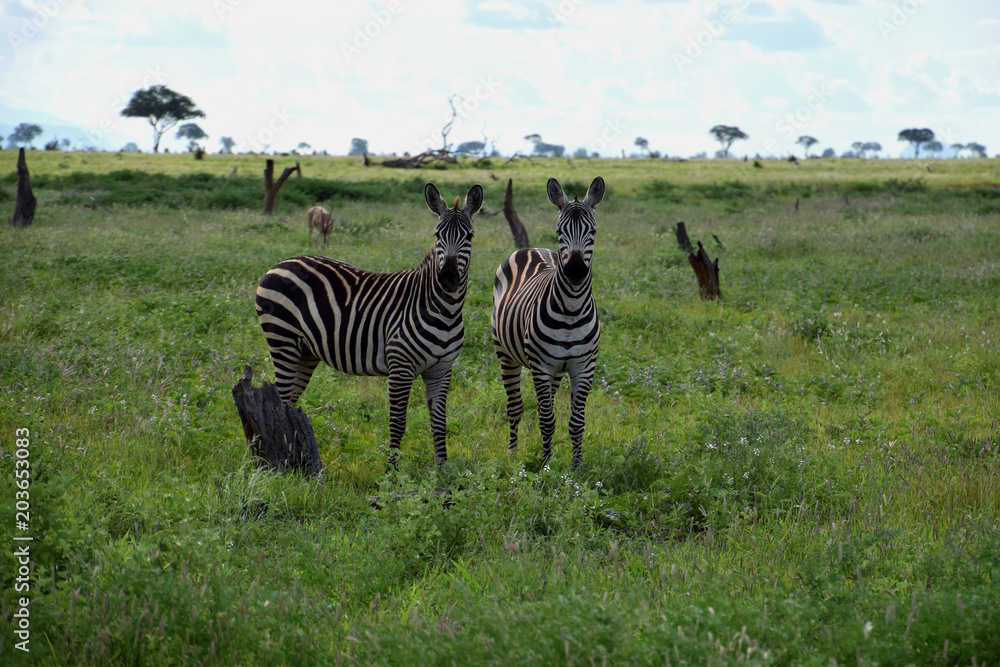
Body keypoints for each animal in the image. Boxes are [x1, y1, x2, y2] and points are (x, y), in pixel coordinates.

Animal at [255, 183, 483, 468]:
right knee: (280, 400)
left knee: (289, 403)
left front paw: (442, 470)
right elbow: (398, 422)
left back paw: (293, 458)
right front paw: (392, 472)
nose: (448, 278)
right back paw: (283, 461)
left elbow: (440, 422)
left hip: (304, 351)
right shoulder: (401, 367)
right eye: (437, 235)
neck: (446, 311)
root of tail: (280, 263)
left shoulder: (441, 369)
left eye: (470, 236)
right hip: (282, 340)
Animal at [491, 176, 604, 471]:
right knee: (515, 407)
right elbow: (546, 420)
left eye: (593, 231)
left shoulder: (583, 368)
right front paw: (546, 466)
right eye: (559, 230)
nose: (575, 272)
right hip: (506, 354)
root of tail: (532, 248)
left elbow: (576, 422)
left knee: (546, 403)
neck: (572, 310)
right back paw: (512, 453)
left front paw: (576, 468)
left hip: (555, 371)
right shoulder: (541, 367)